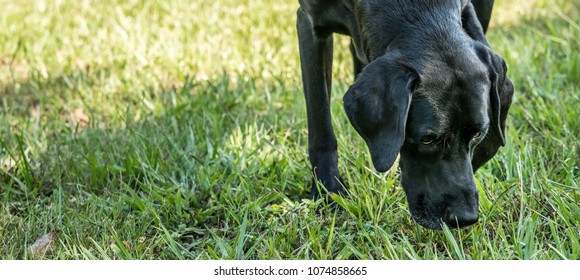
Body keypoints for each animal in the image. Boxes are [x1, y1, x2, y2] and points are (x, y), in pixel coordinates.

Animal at [296, 0, 516, 229]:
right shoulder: (309, 24)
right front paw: (328, 192)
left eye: (477, 134)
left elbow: (500, 113)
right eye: (427, 139)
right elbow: (320, 123)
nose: (465, 218)